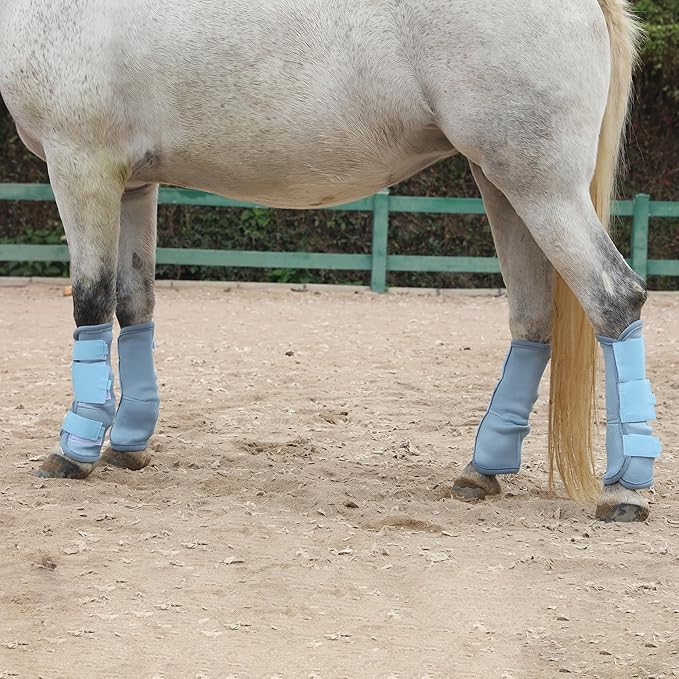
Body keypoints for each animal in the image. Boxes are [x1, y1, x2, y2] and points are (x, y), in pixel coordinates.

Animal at [0, 0, 661, 522]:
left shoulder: (83, 165)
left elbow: (91, 300)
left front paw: (74, 452)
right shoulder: (135, 184)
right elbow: (134, 304)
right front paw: (128, 445)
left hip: (540, 188)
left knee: (614, 298)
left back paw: (624, 492)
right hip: (502, 185)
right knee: (533, 319)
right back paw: (482, 471)